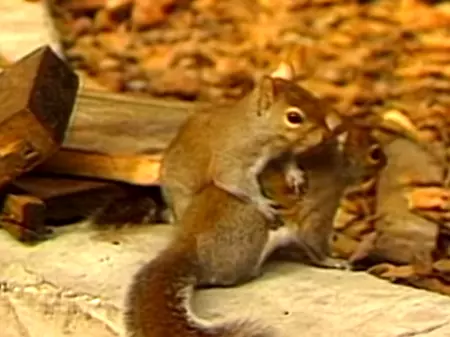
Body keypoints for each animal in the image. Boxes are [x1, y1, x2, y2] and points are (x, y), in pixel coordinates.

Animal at [160, 61, 340, 222]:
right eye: (293, 117)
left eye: (313, 98)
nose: (326, 135)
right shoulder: (232, 159)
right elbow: (233, 180)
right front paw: (262, 203)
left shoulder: (281, 148)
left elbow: (286, 158)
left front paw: (294, 174)